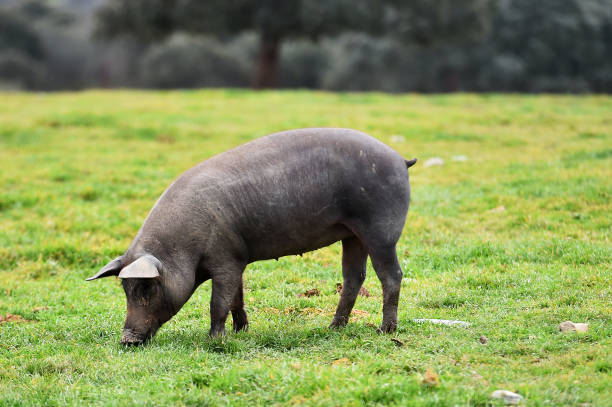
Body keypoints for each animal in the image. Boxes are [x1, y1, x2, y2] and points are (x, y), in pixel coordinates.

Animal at [86, 129, 416, 346]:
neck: (183, 249)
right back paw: (333, 328)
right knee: (354, 277)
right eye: (125, 289)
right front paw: (241, 332)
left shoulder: (224, 258)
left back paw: (385, 331)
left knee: (391, 275)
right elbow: (236, 298)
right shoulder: (237, 257)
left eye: (147, 288)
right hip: (352, 235)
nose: (127, 340)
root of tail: (400, 159)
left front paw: (215, 340)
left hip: (381, 229)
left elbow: (218, 301)